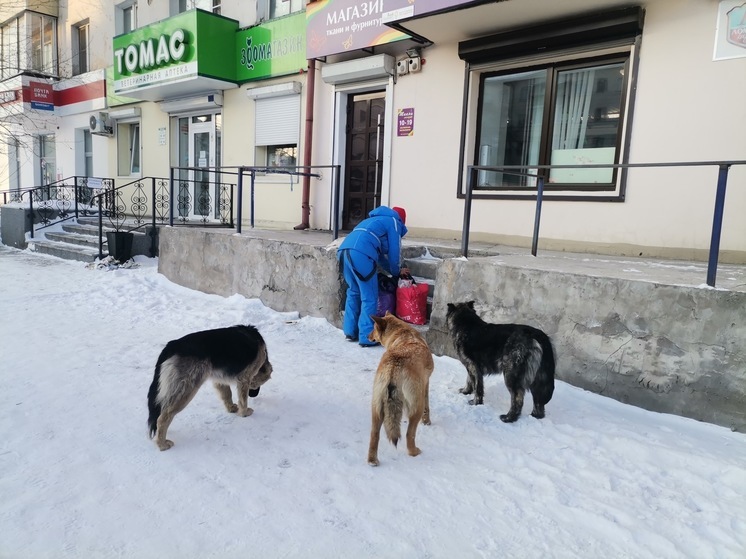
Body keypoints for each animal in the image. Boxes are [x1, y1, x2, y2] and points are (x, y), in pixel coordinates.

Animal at [364, 312, 434, 466]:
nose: (366, 336)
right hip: (416, 406)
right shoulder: (426, 384)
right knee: (409, 435)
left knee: (374, 434)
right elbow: (428, 407)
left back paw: (372, 460)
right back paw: (414, 452)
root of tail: (394, 367)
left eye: (373, 328)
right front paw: (427, 422)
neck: (402, 334)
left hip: (376, 407)